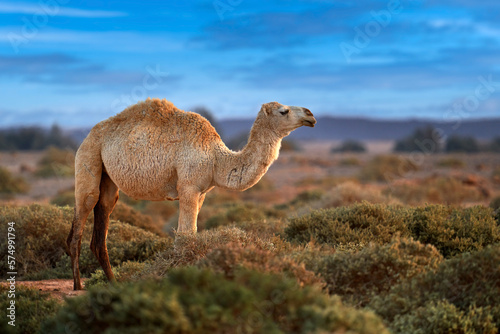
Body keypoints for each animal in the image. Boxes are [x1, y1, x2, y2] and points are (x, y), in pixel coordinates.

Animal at [66, 97, 316, 290]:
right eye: (283, 110)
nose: (310, 115)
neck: (216, 159)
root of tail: (90, 134)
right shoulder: (188, 187)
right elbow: (186, 235)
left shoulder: (202, 193)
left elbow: (188, 235)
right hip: (89, 157)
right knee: (83, 213)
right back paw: (78, 285)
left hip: (108, 179)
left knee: (102, 219)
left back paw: (114, 284)